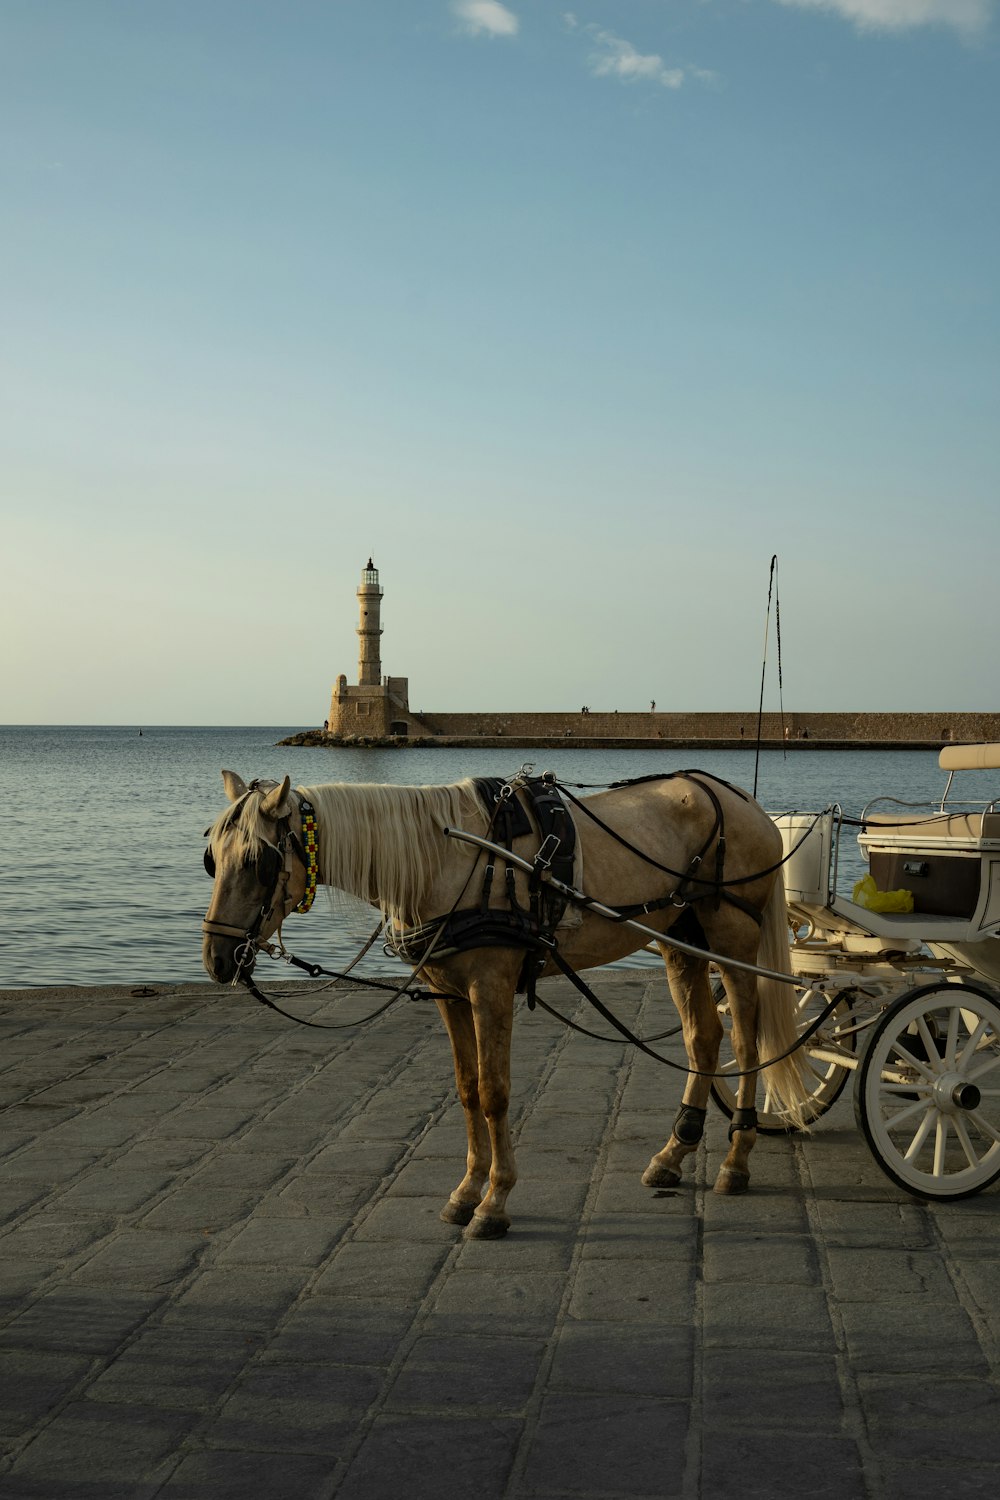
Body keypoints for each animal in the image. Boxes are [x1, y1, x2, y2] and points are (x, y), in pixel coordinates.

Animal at [199, 768, 809, 1236]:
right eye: (212, 858)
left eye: (256, 862)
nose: (217, 959)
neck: (444, 858)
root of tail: (742, 799)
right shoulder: (447, 989)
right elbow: (468, 1090)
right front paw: (467, 1190)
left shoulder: (490, 985)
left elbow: (494, 1093)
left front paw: (494, 1202)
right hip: (679, 939)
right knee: (703, 1038)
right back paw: (673, 1152)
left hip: (731, 937)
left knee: (746, 1039)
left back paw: (736, 1159)